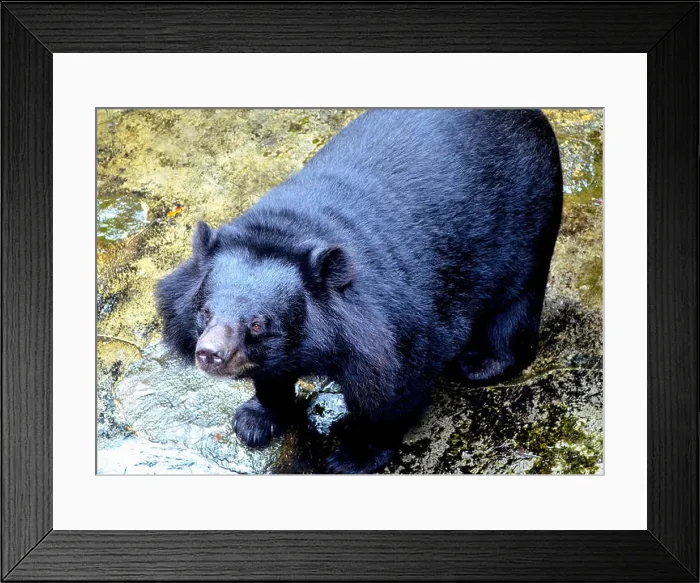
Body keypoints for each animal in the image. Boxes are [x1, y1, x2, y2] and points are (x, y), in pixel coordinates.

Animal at [156, 109, 563, 474]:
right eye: (205, 312)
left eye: (258, 324)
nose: (209, 354)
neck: (288, 232)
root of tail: (532, 115)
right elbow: (271, 378)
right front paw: (255, 421)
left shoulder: (392, 323)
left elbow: (393, 387)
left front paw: (352, 457)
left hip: (526, 222)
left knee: (514, 303)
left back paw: (479, 364)